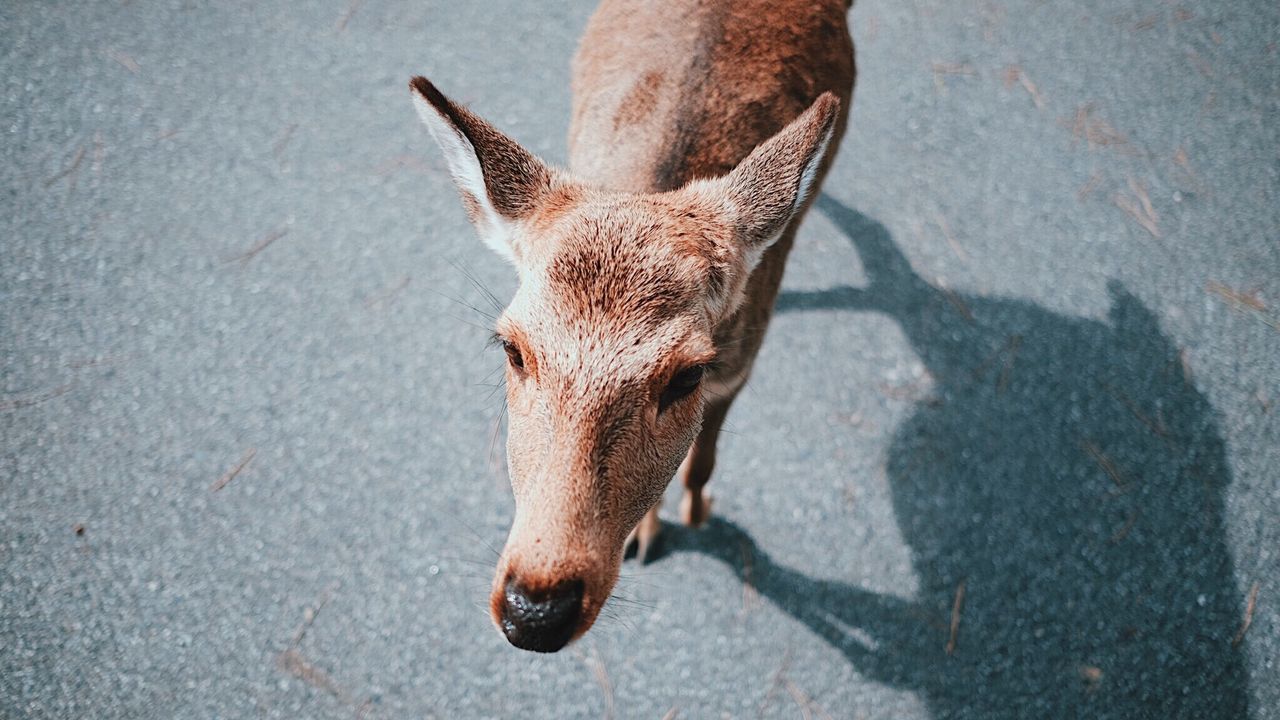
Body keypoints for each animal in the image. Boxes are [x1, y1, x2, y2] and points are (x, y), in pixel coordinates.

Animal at [409, 0, 849, 650]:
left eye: (688, 376)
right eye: (512, 348)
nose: (535, 610)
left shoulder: (742, 363)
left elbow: (708, 453)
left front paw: (696, 510)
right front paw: (650, 531)